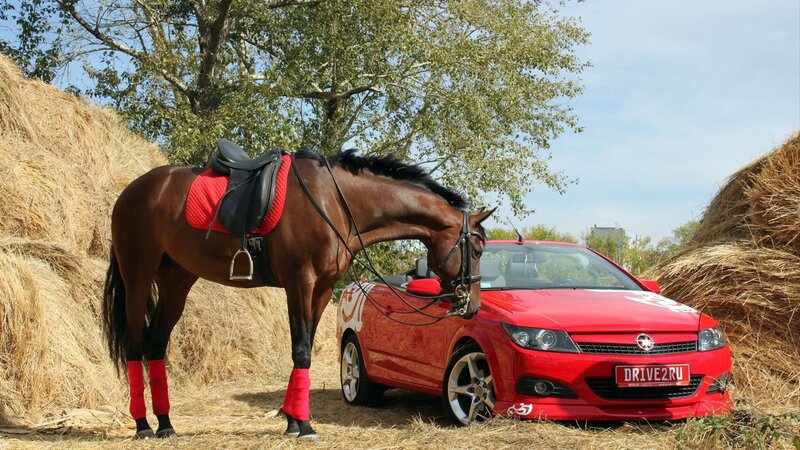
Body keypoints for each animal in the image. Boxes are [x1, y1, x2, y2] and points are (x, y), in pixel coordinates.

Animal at [102, 148, 494, 439]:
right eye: (476, 249)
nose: (472, 306)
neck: (336, 202)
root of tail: (131, 191)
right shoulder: (300, 283)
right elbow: (301, 349)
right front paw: (303, 425)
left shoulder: (321, 289)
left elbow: (302, 350)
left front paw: (292, 421)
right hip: (138, 277)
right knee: (135, 344)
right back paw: (143, 426)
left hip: (177, 280)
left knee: (155, 345)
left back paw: (166, 425)